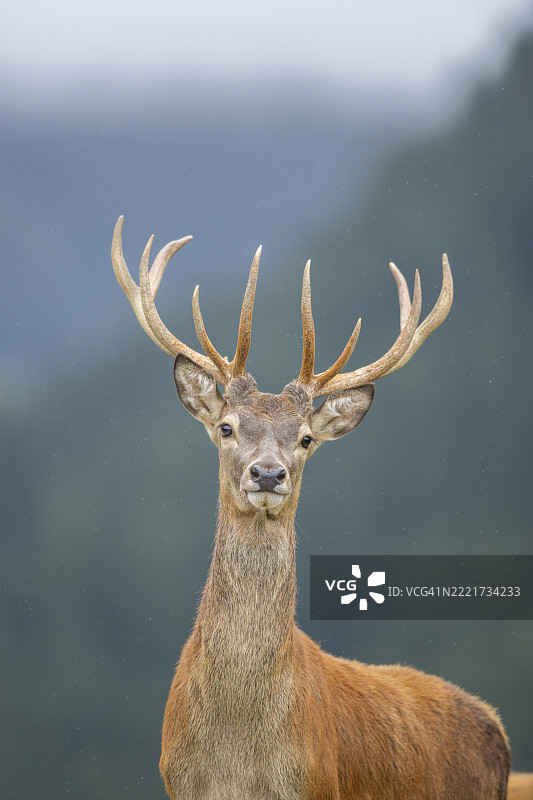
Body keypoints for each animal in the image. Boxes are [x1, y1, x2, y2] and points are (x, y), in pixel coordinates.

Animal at [112, 215, 530, 800]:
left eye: (306, 439)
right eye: (226, 427)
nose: (268, 473)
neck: (237, 760)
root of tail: (496, 725)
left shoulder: (317, 783)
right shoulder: (177, 782)